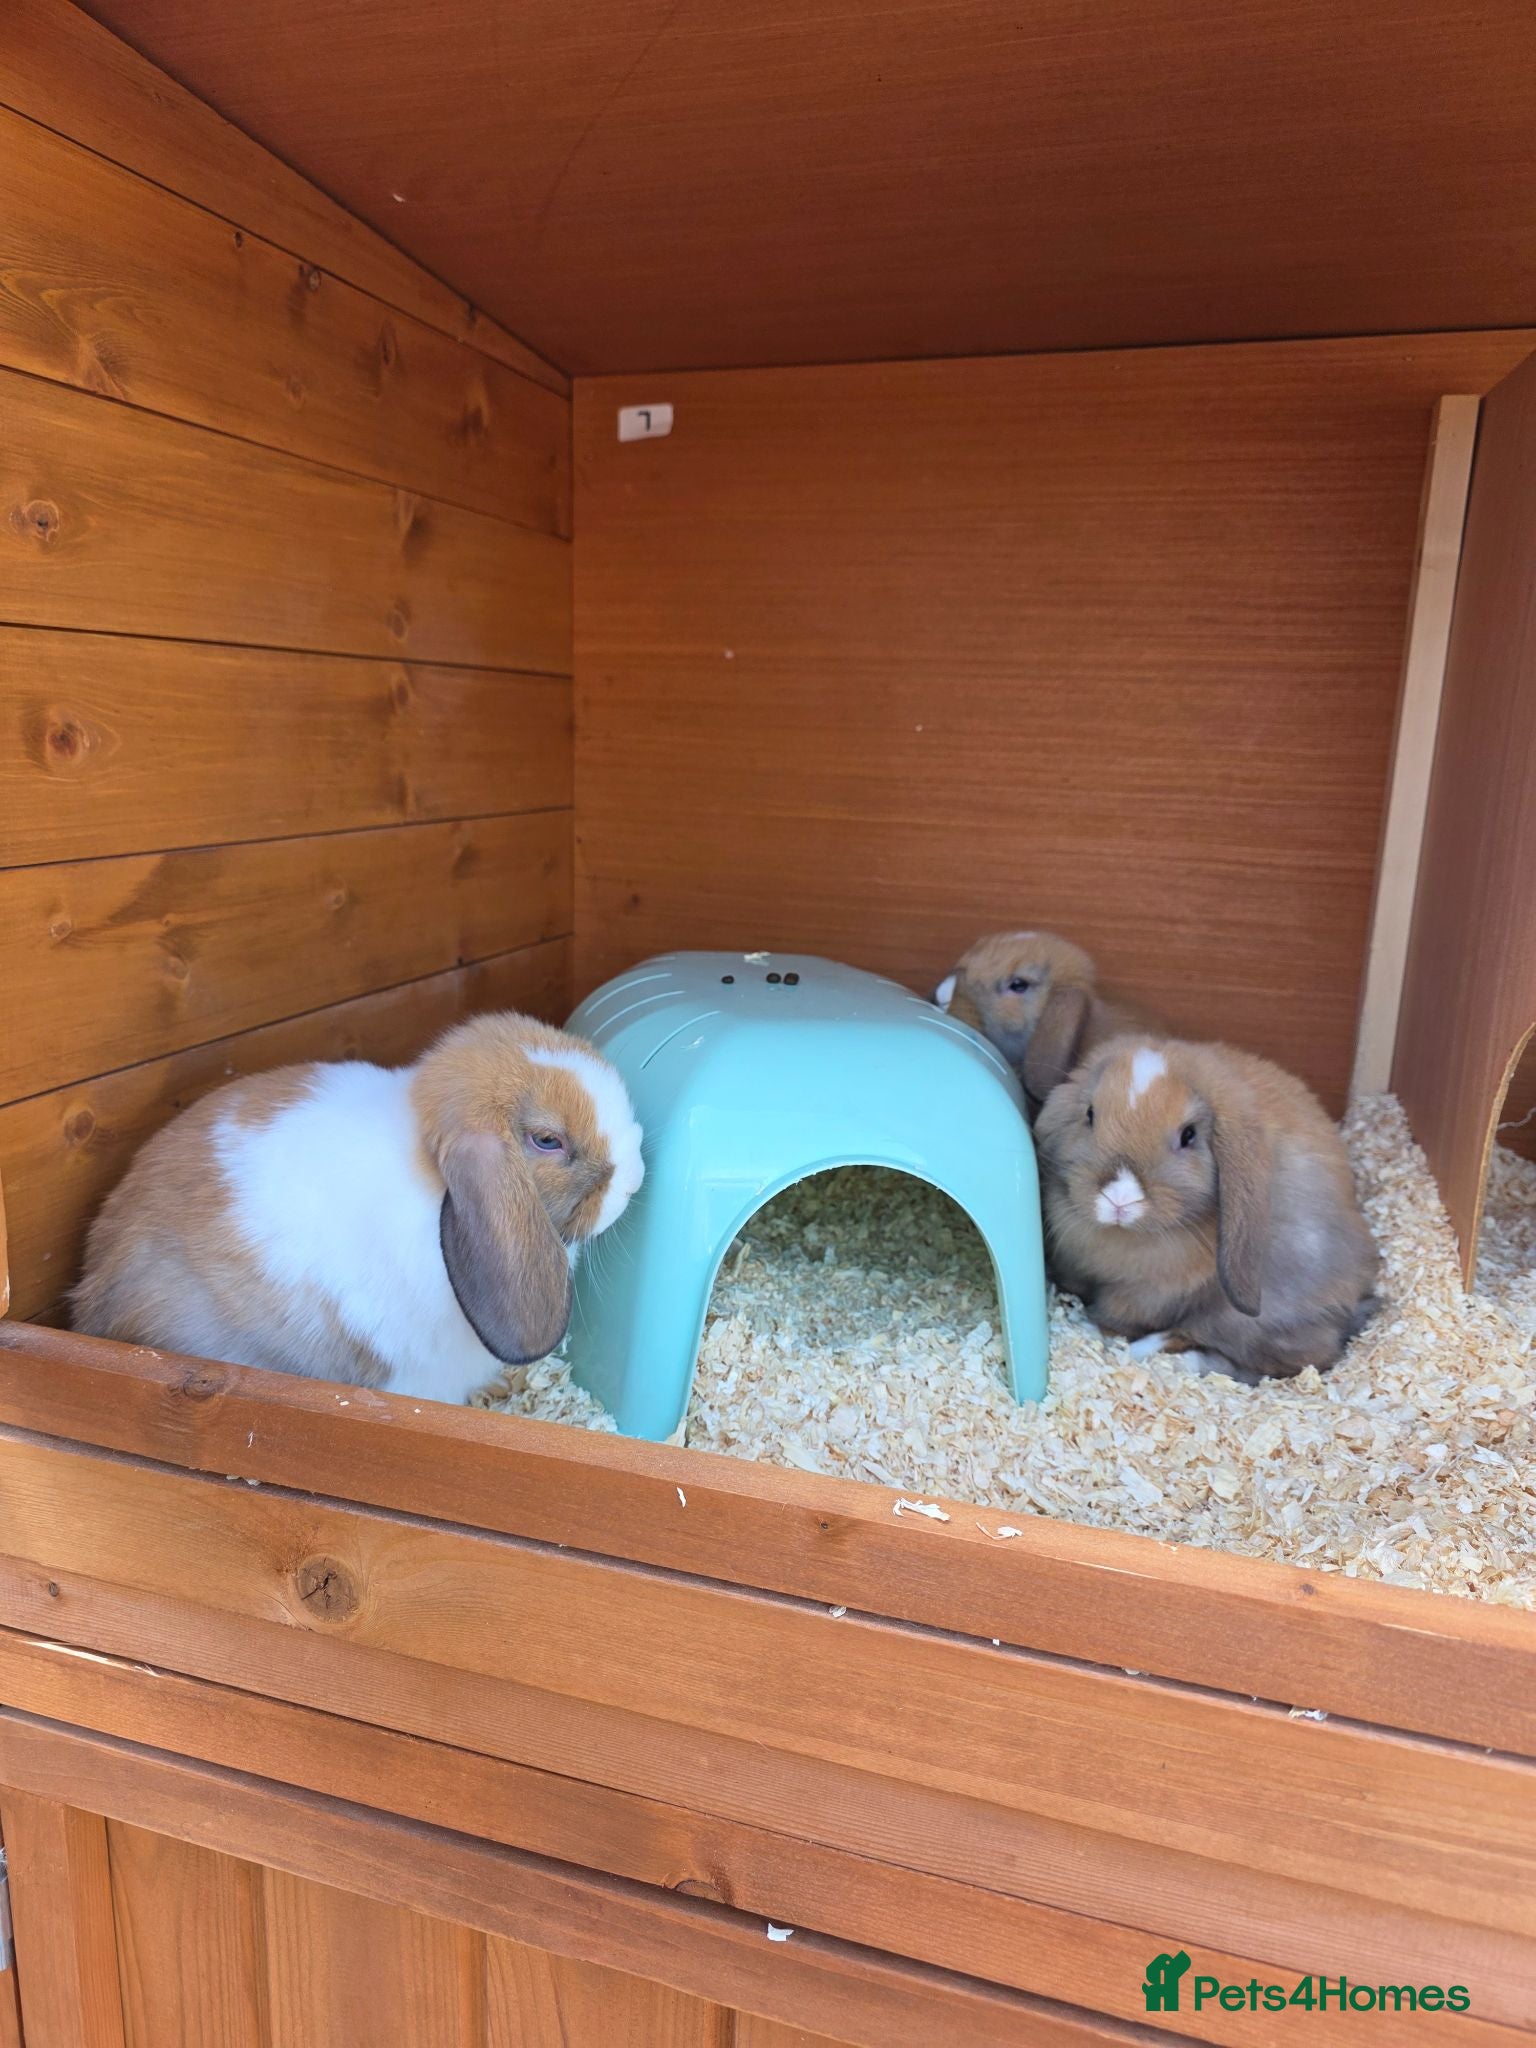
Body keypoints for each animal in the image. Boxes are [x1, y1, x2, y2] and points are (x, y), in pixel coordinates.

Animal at [1034, 1035, 1378, 1380]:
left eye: (1189, 1135)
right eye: (1090, 1114)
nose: (1119, 1198)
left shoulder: (1144, 1297)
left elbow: (1118, 1320)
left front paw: (1101, 1333)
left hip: (1249, 1319)